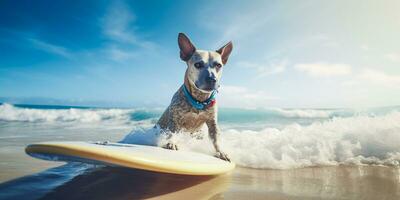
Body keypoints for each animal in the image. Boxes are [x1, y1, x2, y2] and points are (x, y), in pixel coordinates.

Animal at [155, 32, 233, 161]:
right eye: (198, 64)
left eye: (218, 65)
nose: (212, 79)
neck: (199, 100)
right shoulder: (175, 120)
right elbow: (172, 132)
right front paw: (172, 142)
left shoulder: (212, 123)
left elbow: (216, 139)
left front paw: (220, 152)